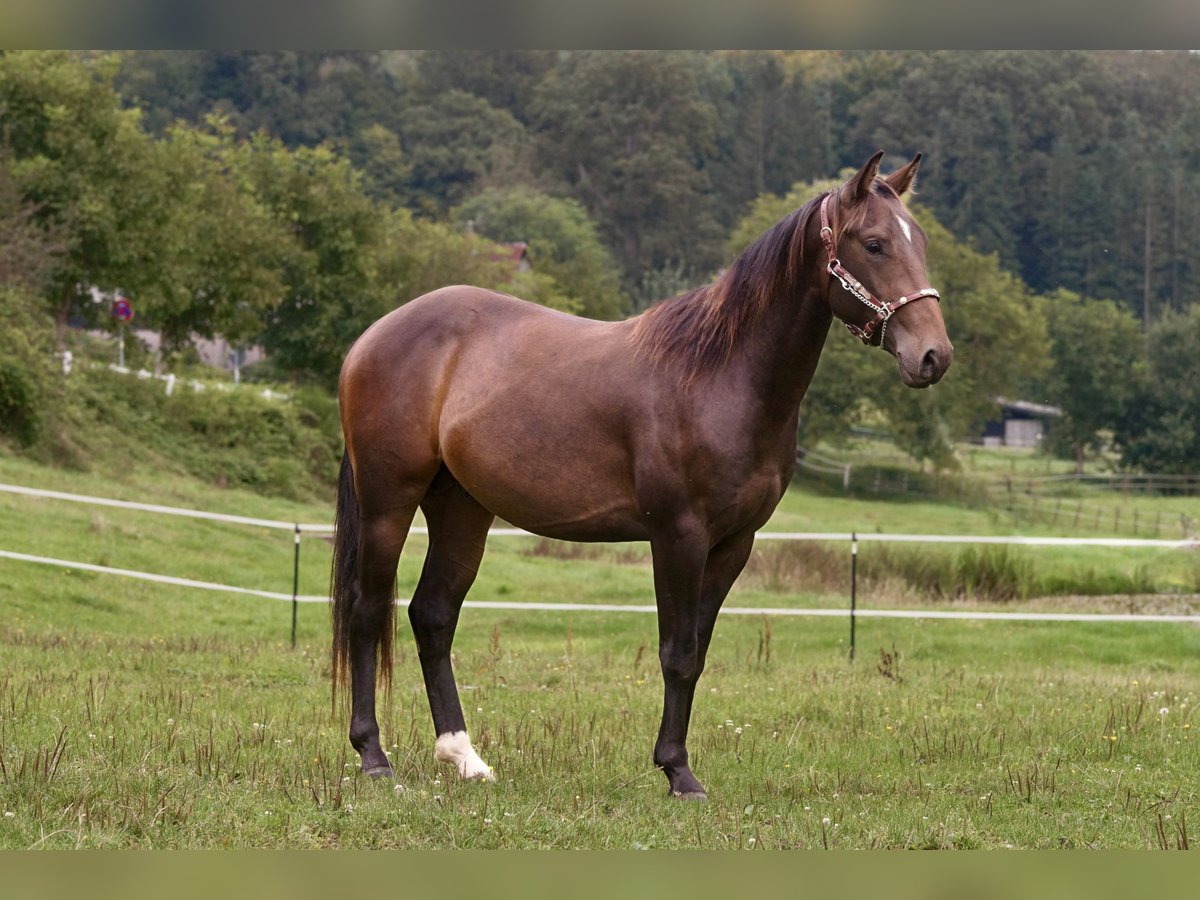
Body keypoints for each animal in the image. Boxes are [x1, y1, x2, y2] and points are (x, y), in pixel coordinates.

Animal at [333, 151, 950, 801]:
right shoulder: (677, 536)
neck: (720, 375)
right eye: (874, 244)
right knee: (367, 611)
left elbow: (697, 652)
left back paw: (465, 757)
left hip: (461, 509)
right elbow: (676, 651)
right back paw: (374, 757)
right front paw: (678, 772)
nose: (934, 356)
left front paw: (677, 764)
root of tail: (372, 336)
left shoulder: (734, 543)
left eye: (920, 240)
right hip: (388, 502)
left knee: (432, 616)